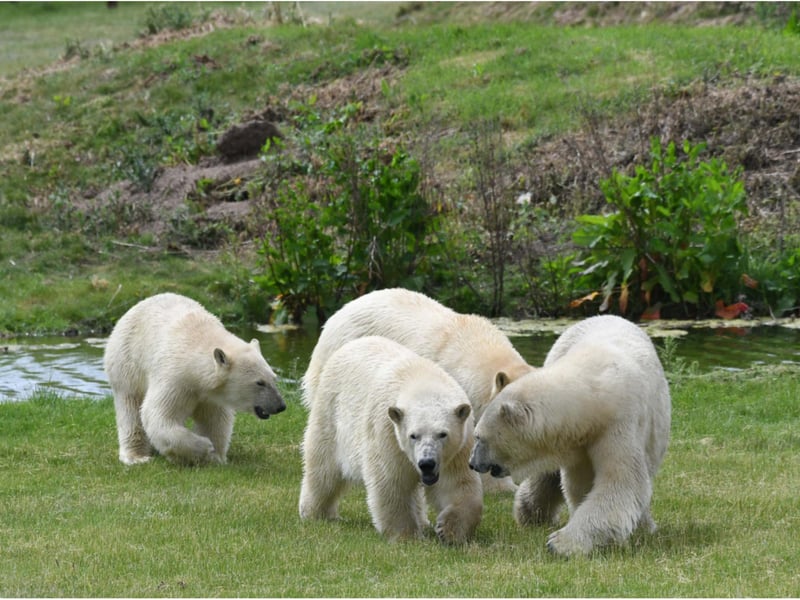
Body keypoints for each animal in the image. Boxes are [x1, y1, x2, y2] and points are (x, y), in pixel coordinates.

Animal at [104, 293, 286, 466]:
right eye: (260, 382)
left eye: (274, 378)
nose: (280, 406)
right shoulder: (175, 378)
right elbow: (159, 415)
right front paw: (204, 447)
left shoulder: (212, 394)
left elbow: (214, 420)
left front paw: (215, 457)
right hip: (127, 362)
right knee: (130, 406)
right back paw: (136, 456)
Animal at [298, 336, 483, 544]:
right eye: (413, 435)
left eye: (442, 434)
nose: (426, 463)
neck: (421, 382)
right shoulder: (387, 432)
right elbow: (390, 482)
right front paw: (406, 536)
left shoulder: (459, 448)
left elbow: (457, 483)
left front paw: (449, 531)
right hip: (331, 411)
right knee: (324, 466)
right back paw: (315, 513)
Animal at [469, 315, 671, 556]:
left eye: (479, 437)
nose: (473, 463)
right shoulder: (578, 439)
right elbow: (580, 485)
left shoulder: (619, 424)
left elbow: (621, 482)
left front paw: (560, 543)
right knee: (548, 476)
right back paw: (530, 513)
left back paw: (645, 527)